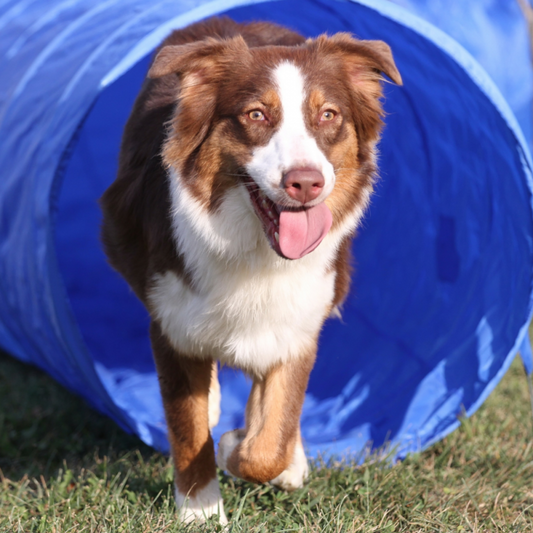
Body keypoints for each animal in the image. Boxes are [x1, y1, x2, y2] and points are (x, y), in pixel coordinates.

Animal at [98, 16, 400, 524]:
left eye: (329, 115)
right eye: (256, 115)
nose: (305, 182)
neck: (257, 251)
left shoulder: (299, 321)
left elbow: (270, 441)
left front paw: (257, 452)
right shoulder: (172, 323)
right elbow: (189, 429)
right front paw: (200, 513)